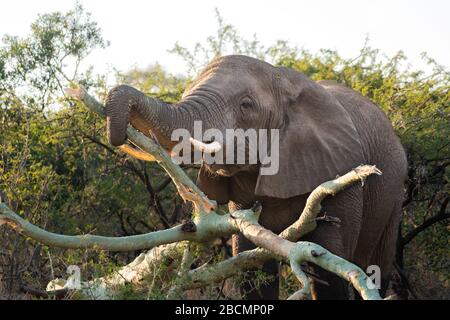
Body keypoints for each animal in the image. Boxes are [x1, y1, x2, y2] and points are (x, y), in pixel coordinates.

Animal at [104, 55, 408, 300]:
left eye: (246, 105)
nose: (117, 136)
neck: (284, 80)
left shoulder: (340, 171)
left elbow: (328, 269)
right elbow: (252, 267)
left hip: (394, 194)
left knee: (376, 267)